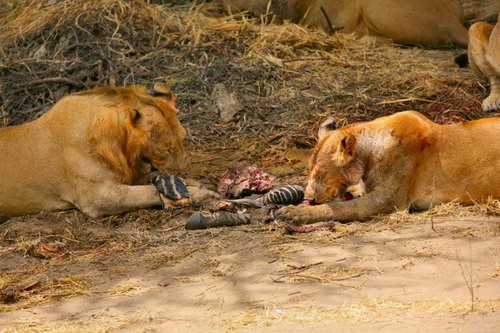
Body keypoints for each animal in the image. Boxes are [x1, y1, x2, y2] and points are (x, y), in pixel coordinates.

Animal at [276, 110, 500, 224]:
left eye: (322, 173)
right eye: (309, 169)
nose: (309, 198)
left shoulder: (386, 200)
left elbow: (342, 208)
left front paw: (294, 212)